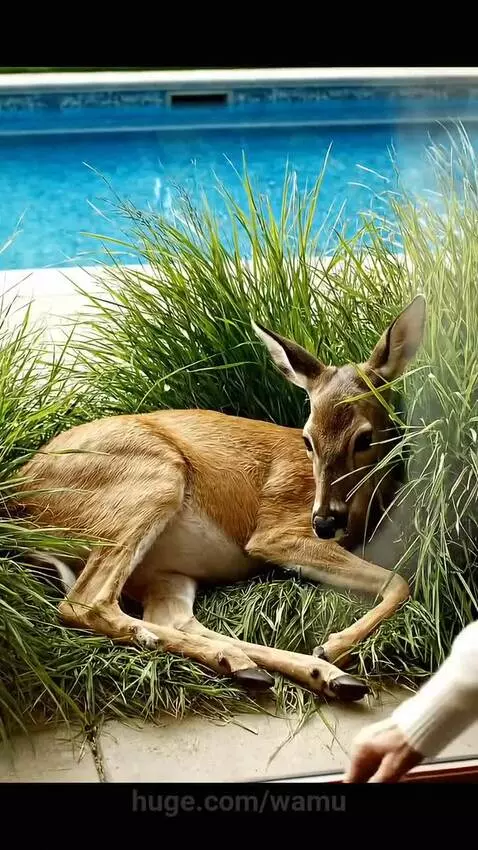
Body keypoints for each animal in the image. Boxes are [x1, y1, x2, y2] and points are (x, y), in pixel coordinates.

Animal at [16, 295, 426, 703]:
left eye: (364, 438)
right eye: (307, 439)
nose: (324, 521)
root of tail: (21, 494)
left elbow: (398, 580)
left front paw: (330, 650)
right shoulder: (275, 532)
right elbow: (400, 580)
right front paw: (335, 645)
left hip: (165, 569)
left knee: (173, 618)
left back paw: (276, 671)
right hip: (152, 485)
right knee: (84, 602)